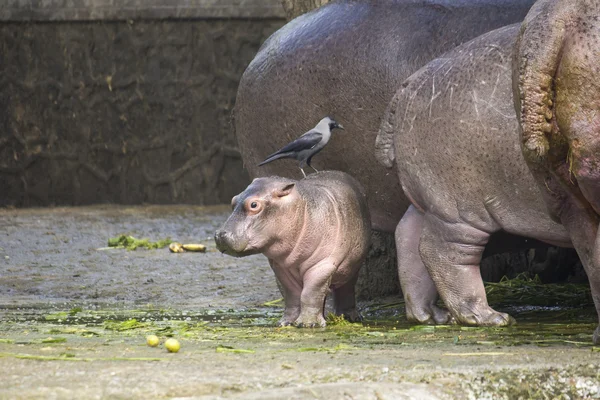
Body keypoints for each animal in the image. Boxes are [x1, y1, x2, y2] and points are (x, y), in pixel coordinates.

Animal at [213, 170, 368, 326]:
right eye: (233, 200)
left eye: (254, 204)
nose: (220, 234)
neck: (301, 209)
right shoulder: (281, 268)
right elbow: (292, 295)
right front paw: (285, 323)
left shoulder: (321, 265)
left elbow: (310, 293)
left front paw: (307, 324)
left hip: (351, 267)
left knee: (346, 290)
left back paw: (350, 318)